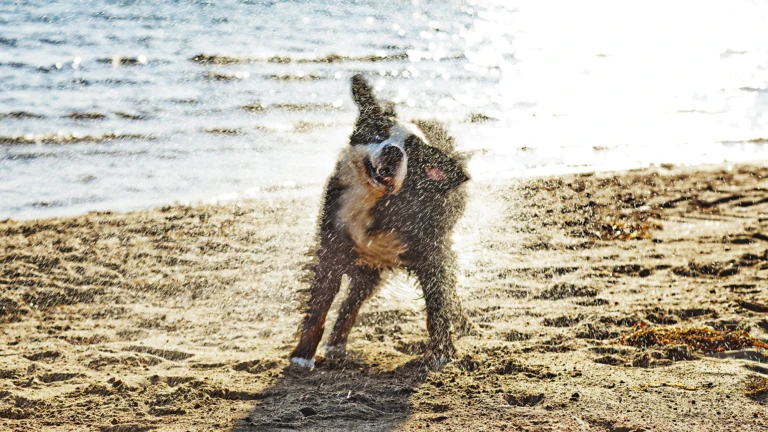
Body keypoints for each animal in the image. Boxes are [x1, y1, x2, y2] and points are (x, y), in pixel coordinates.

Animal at [290, 74, 472, 368]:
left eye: (412, 152)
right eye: (378, 134)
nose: (393, 151)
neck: (377, 202)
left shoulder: (431, 252)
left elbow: (438, 306)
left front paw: (442, 352)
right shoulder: (333, 247)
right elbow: (319, 306)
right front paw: (303, 355)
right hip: (368, 266)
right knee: (352, 301)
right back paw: (336, 343)